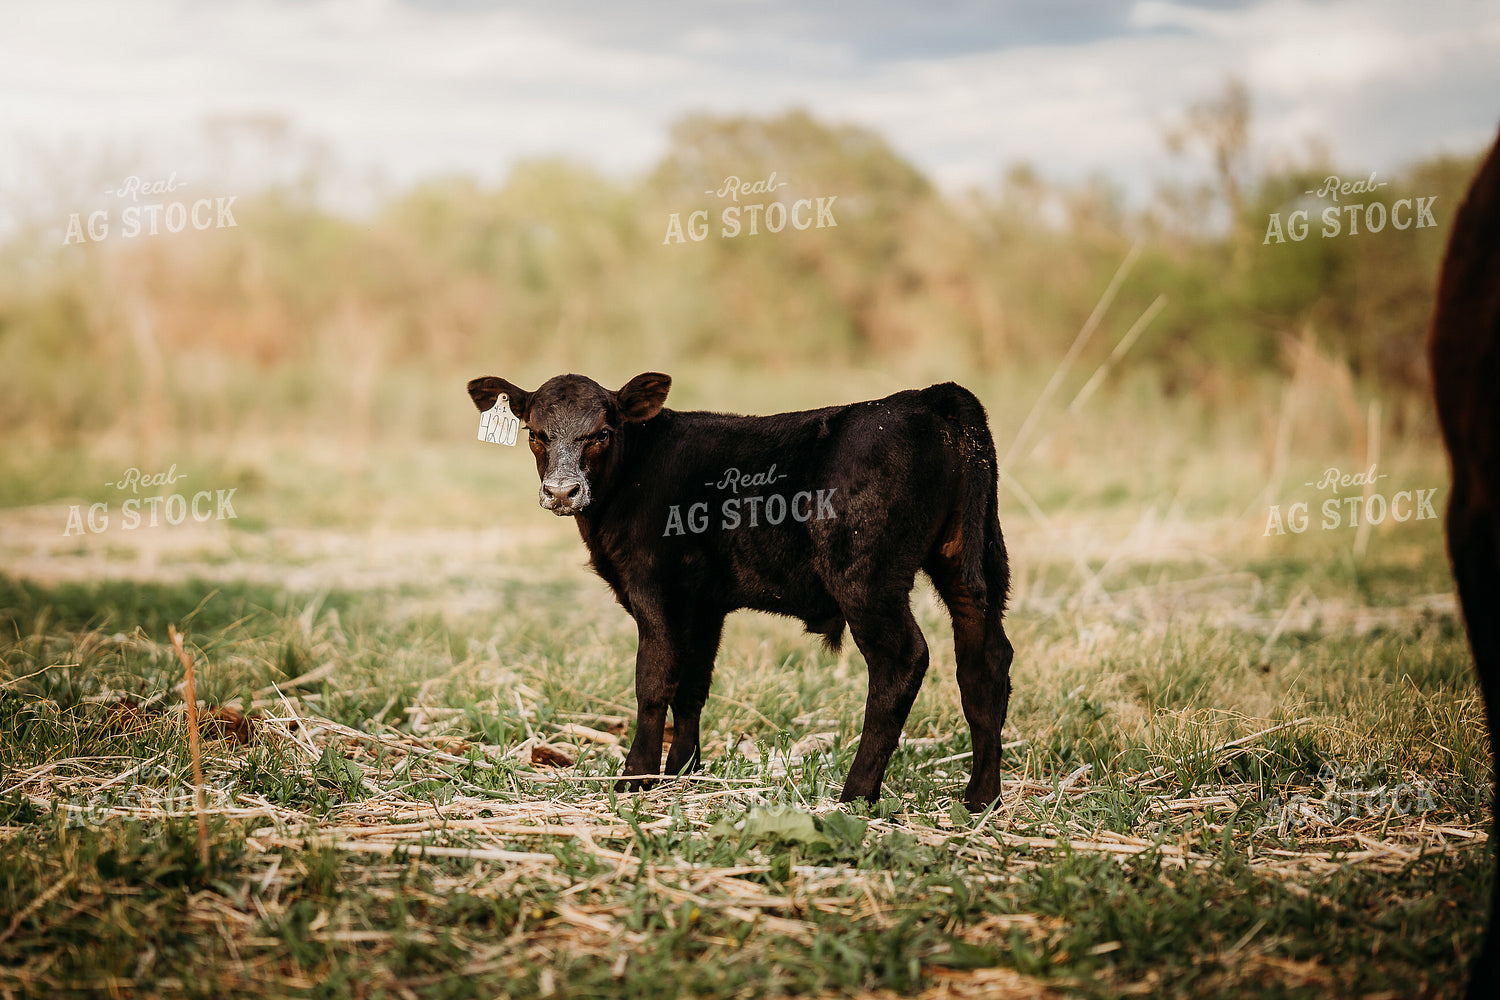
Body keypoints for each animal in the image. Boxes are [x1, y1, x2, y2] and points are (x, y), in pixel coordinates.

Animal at [467, 372, 1016, 810]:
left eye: (602, 432)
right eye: (536, 433)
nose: (562, 491)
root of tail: (931, 396)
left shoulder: (655, 589)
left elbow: (654, 681)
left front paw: (635, 777)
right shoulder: (703, 602)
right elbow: (692, 683)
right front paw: (683, 769)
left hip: (865, 576)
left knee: (902, 661)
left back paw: (857, 793)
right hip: (972, 556)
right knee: (985, 660)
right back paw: (980, 797)